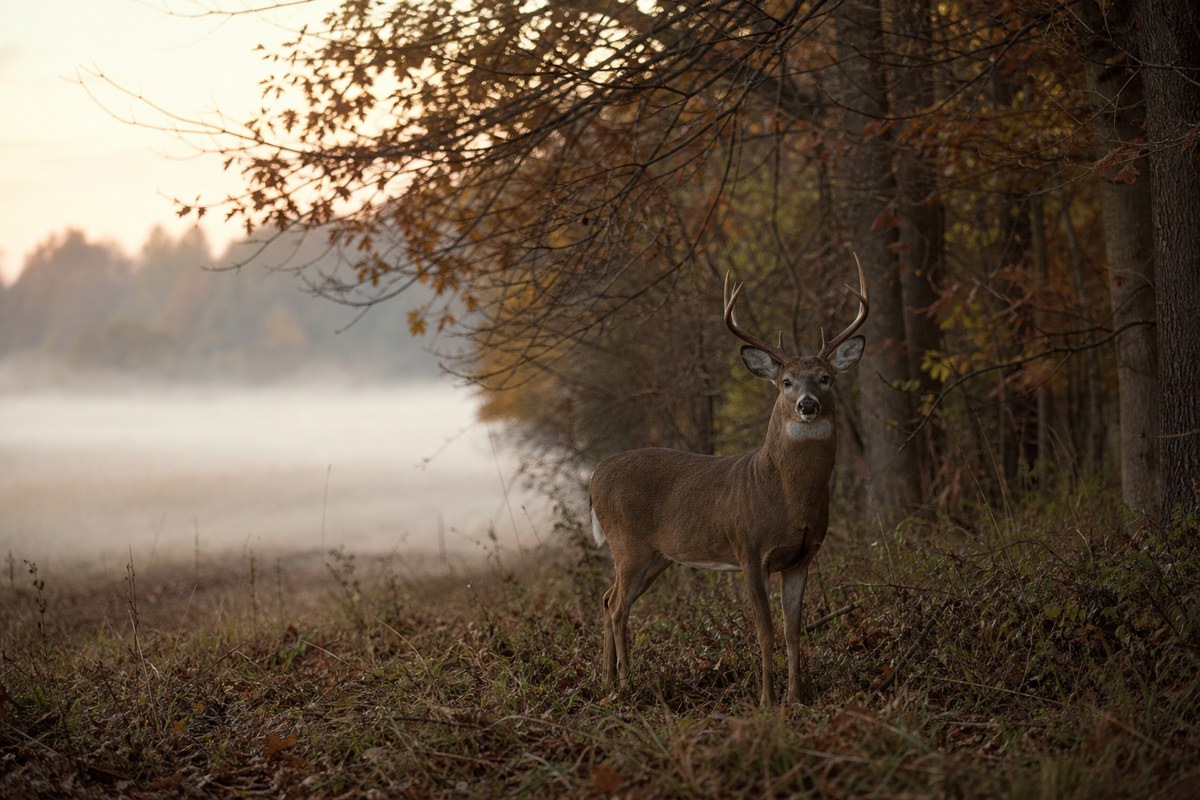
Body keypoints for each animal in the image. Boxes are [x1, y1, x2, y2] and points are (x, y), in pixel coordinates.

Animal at [588, 259, 868, 706]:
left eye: (826, 378)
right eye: (786, 382)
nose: (807, 405)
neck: (785, 495)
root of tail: (595, 476)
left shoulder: (803, 556)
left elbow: (792, 631)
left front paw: (796, 698)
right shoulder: (749, 548)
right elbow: (766, 631)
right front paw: (767, 700)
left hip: (658, 555)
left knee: (608, 598)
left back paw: (608, 680)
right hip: (627, 543)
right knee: (616, 607)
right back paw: (627, 682)